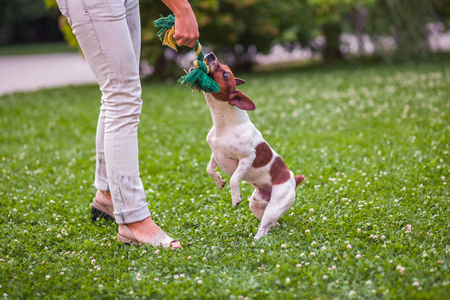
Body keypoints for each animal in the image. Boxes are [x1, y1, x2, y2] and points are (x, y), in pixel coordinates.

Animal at [204, 52, 306, 239]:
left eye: (225, 75)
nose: (210, 54)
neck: (224, 123)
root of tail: (294, 179)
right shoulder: (216, 153)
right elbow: (210, 169)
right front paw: (219, 182)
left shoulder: (247, 157)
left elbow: (235, 178)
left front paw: (235, 198)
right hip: (257, 205)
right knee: (270, 224)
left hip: (275, 205)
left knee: (263, 229)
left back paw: (256, 240)